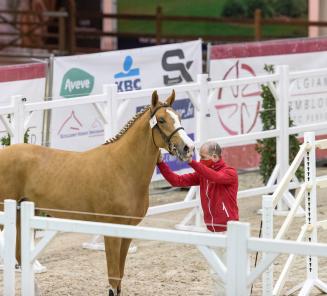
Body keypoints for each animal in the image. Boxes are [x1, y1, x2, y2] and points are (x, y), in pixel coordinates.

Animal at [0, 91, 195, 296]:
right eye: (162, 120)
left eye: (178, 116)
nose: (188, 148)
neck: (123, 167)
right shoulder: (111, 231)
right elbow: (113, 276)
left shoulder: (128, 231)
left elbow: (120, 276)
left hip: (20, 214)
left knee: (20, 255)